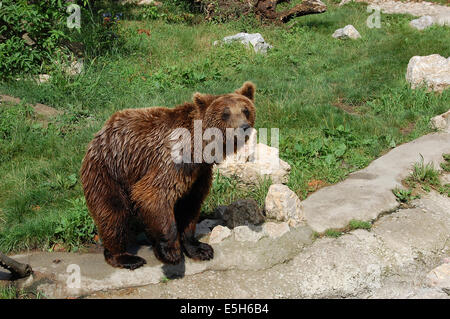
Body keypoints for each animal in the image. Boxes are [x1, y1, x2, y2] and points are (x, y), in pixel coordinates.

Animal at [80, 82, 256, 270]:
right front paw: (171, 252)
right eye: (225, 113)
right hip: (108, 172)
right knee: (113, 213)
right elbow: (154, 195)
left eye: (245, 110)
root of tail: (99, 133)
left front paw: (200, 249)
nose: (244, 127)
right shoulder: (172, 161)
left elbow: (189, 205)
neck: (200, 149)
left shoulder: (199, 174)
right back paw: (125, 257)